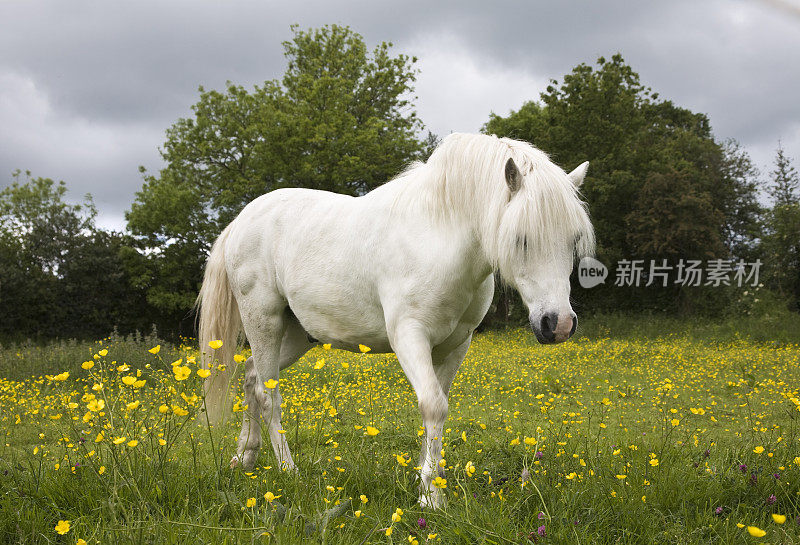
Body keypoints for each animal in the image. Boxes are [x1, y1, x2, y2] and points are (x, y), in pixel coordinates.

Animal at [196, 131, 592, 506]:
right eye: (521, 239)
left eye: (573, 239)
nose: (558, 324)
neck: (438, 236)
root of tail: (241, 220)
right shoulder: (409, 336)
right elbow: (433, 405)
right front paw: (431, 497)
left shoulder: (455, 344)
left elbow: (436, 409)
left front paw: (426, 480)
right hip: (264, 321)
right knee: (268, 394)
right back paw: (288, 470)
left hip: (297, 335)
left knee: (250, 376)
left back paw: (245, 458)